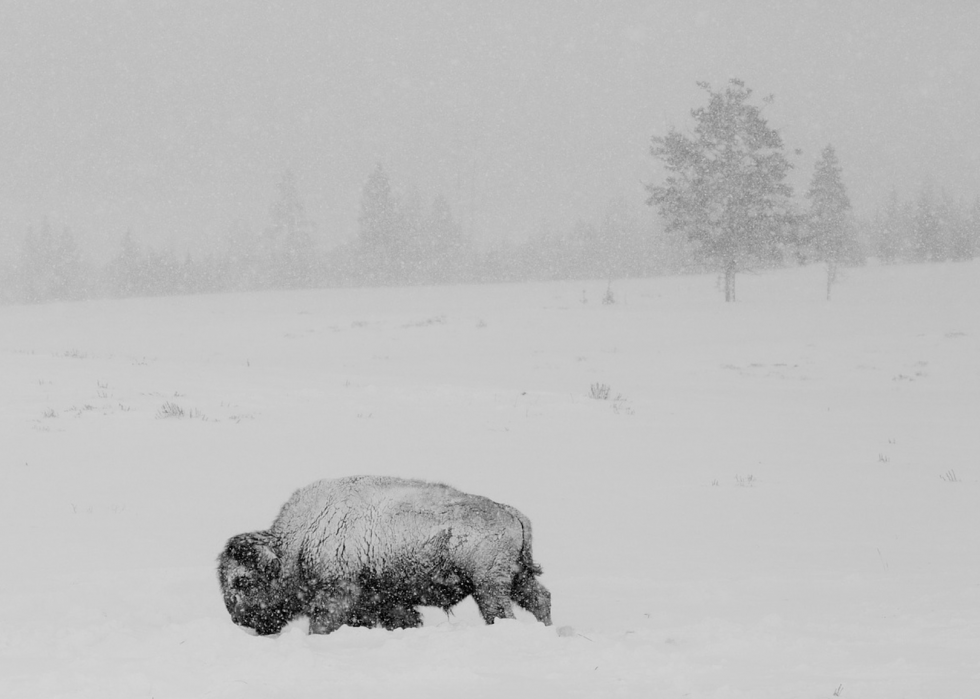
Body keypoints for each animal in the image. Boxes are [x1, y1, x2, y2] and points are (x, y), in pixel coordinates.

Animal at [217, 478, 552, 636]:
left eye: (243, 581)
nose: (238, 619)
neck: (298, 541)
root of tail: (511, 513)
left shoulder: (338, 594)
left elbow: (322, 624)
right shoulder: (383, 599)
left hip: (489, 587)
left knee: (503, 613)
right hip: (516, 579)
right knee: (540, 599)